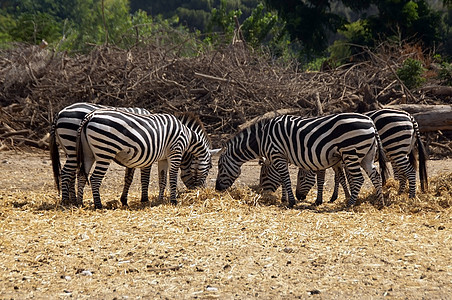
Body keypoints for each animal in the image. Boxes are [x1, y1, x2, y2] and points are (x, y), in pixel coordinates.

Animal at [76, 109, 217, 210]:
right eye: (210, 167)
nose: (200, 190)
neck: (187, 136)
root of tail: (90, 116)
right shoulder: (175, 152)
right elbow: (172, 177)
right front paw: (173, 201)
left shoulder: (163, 158)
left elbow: (162, 179)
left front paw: (160, 199)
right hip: (105, 152)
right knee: (95, 178)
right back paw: (98, 205)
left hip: (88, 154)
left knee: (82, 176)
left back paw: (80, 203)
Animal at [216, 113, 388, 207]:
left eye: (220, 167)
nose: (217, 189)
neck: (262, 138)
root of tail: (370, 122)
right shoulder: (283, 156)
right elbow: (284, 179)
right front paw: (286, 198)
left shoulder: (277, 154)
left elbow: (285, 178)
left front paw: (291, 201)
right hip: (366, 156)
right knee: (376, 176)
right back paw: (380, 203)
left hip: (351, 152)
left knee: (359, 179)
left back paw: (350, 204)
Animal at [258, 109, 428, 205]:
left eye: (264, 175)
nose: (300, 197)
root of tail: (409, 116)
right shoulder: (335, 159)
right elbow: (339, 177)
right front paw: (339, 196)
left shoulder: (333, 158)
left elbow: (337, 178)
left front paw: (338, 197)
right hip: (399, 150)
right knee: (402, 172)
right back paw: (398, 194)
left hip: (395, 148)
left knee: (407, 171)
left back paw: (409, 196)